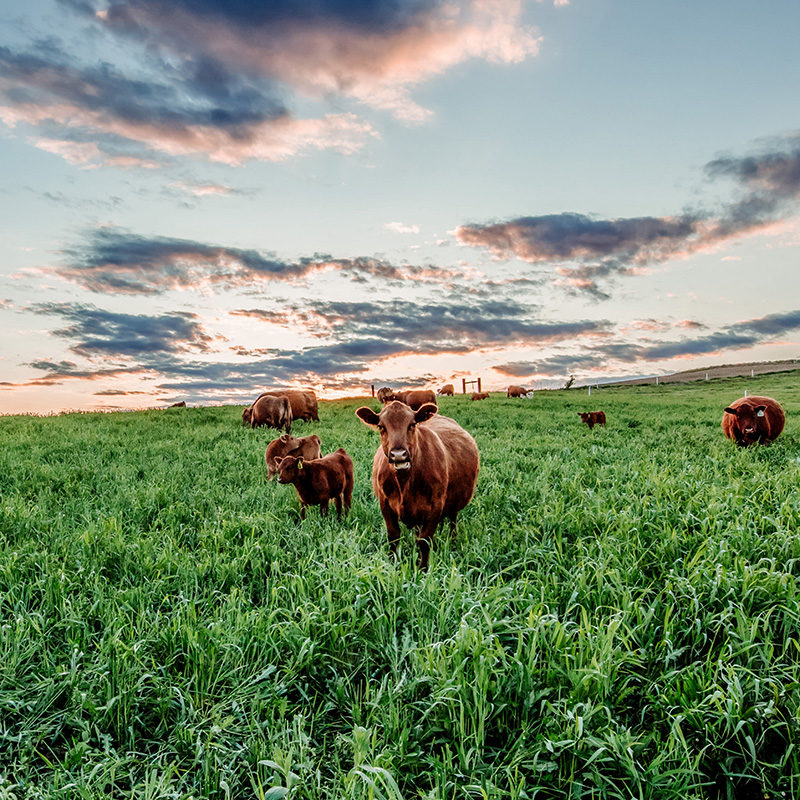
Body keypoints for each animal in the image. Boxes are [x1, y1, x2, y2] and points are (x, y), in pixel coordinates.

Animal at [358, 400, 482, 568]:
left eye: (412, 424)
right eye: (381, 427)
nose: (398, 455)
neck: (405, 483)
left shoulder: (436, 504)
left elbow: (424, 540)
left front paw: (423, 568)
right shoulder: (385, 503)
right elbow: (393, 536)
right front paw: (393, 563)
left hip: (454, 502)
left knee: (452, 520)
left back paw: (453, 540)